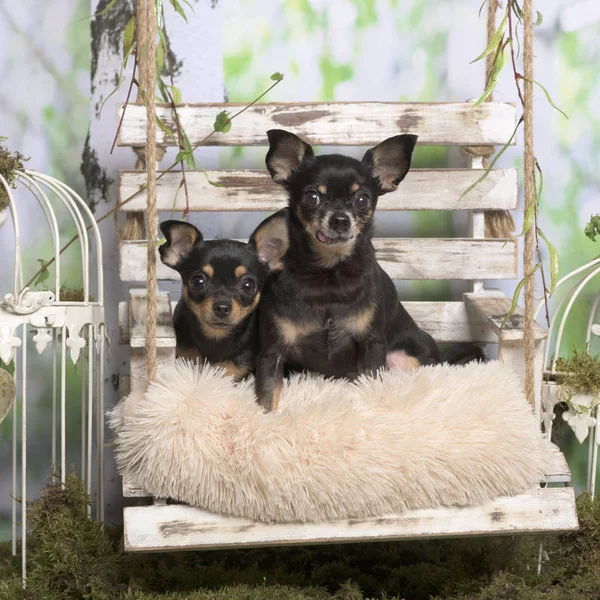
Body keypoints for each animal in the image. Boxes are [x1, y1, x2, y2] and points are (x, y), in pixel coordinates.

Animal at [162, 220, 270, 380]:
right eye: (198, 282)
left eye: (248, 286)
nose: (222, 307)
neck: (216, 335)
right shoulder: (185, 355)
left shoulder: (233, 369)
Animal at [254, 130, 482, 412]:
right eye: (311, 197)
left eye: (362, 200)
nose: (340, 219)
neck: (329, 274)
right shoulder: (271, 352)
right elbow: (267, 397)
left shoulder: (372, 344)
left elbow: (371, 385)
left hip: (406, 355)